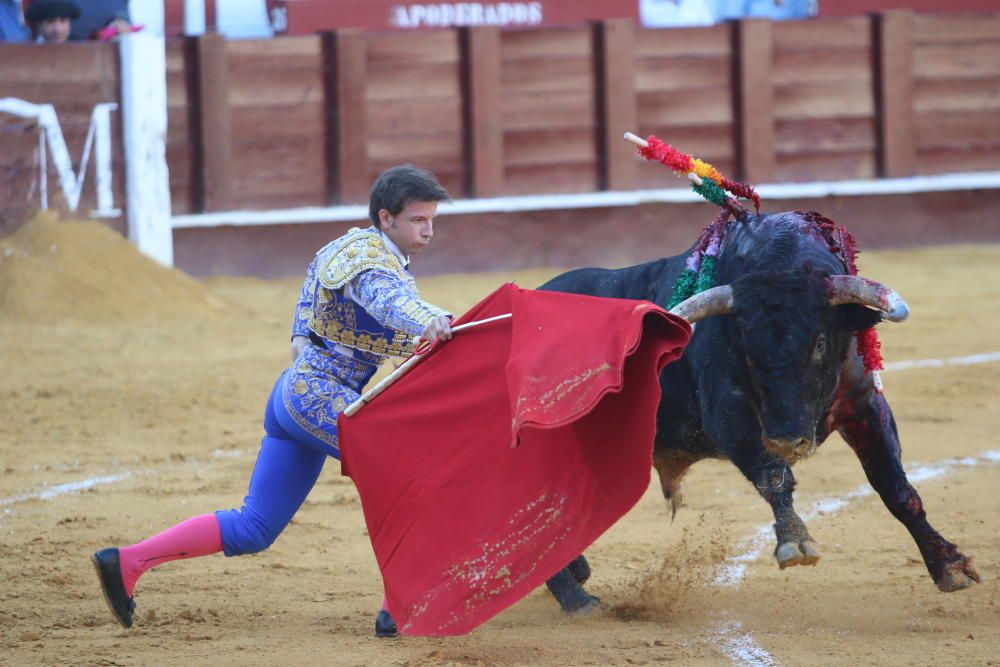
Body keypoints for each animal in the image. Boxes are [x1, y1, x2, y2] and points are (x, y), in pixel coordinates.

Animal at [540, 211, 976, 612]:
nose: (786, 439)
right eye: (748, 348)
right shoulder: (728, 414)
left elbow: (896, 488)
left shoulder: (865, 404)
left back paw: (578, 576)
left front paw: (949, 566)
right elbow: (774, 476)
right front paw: (795, 541)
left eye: (820, 343)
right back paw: (577, 600)